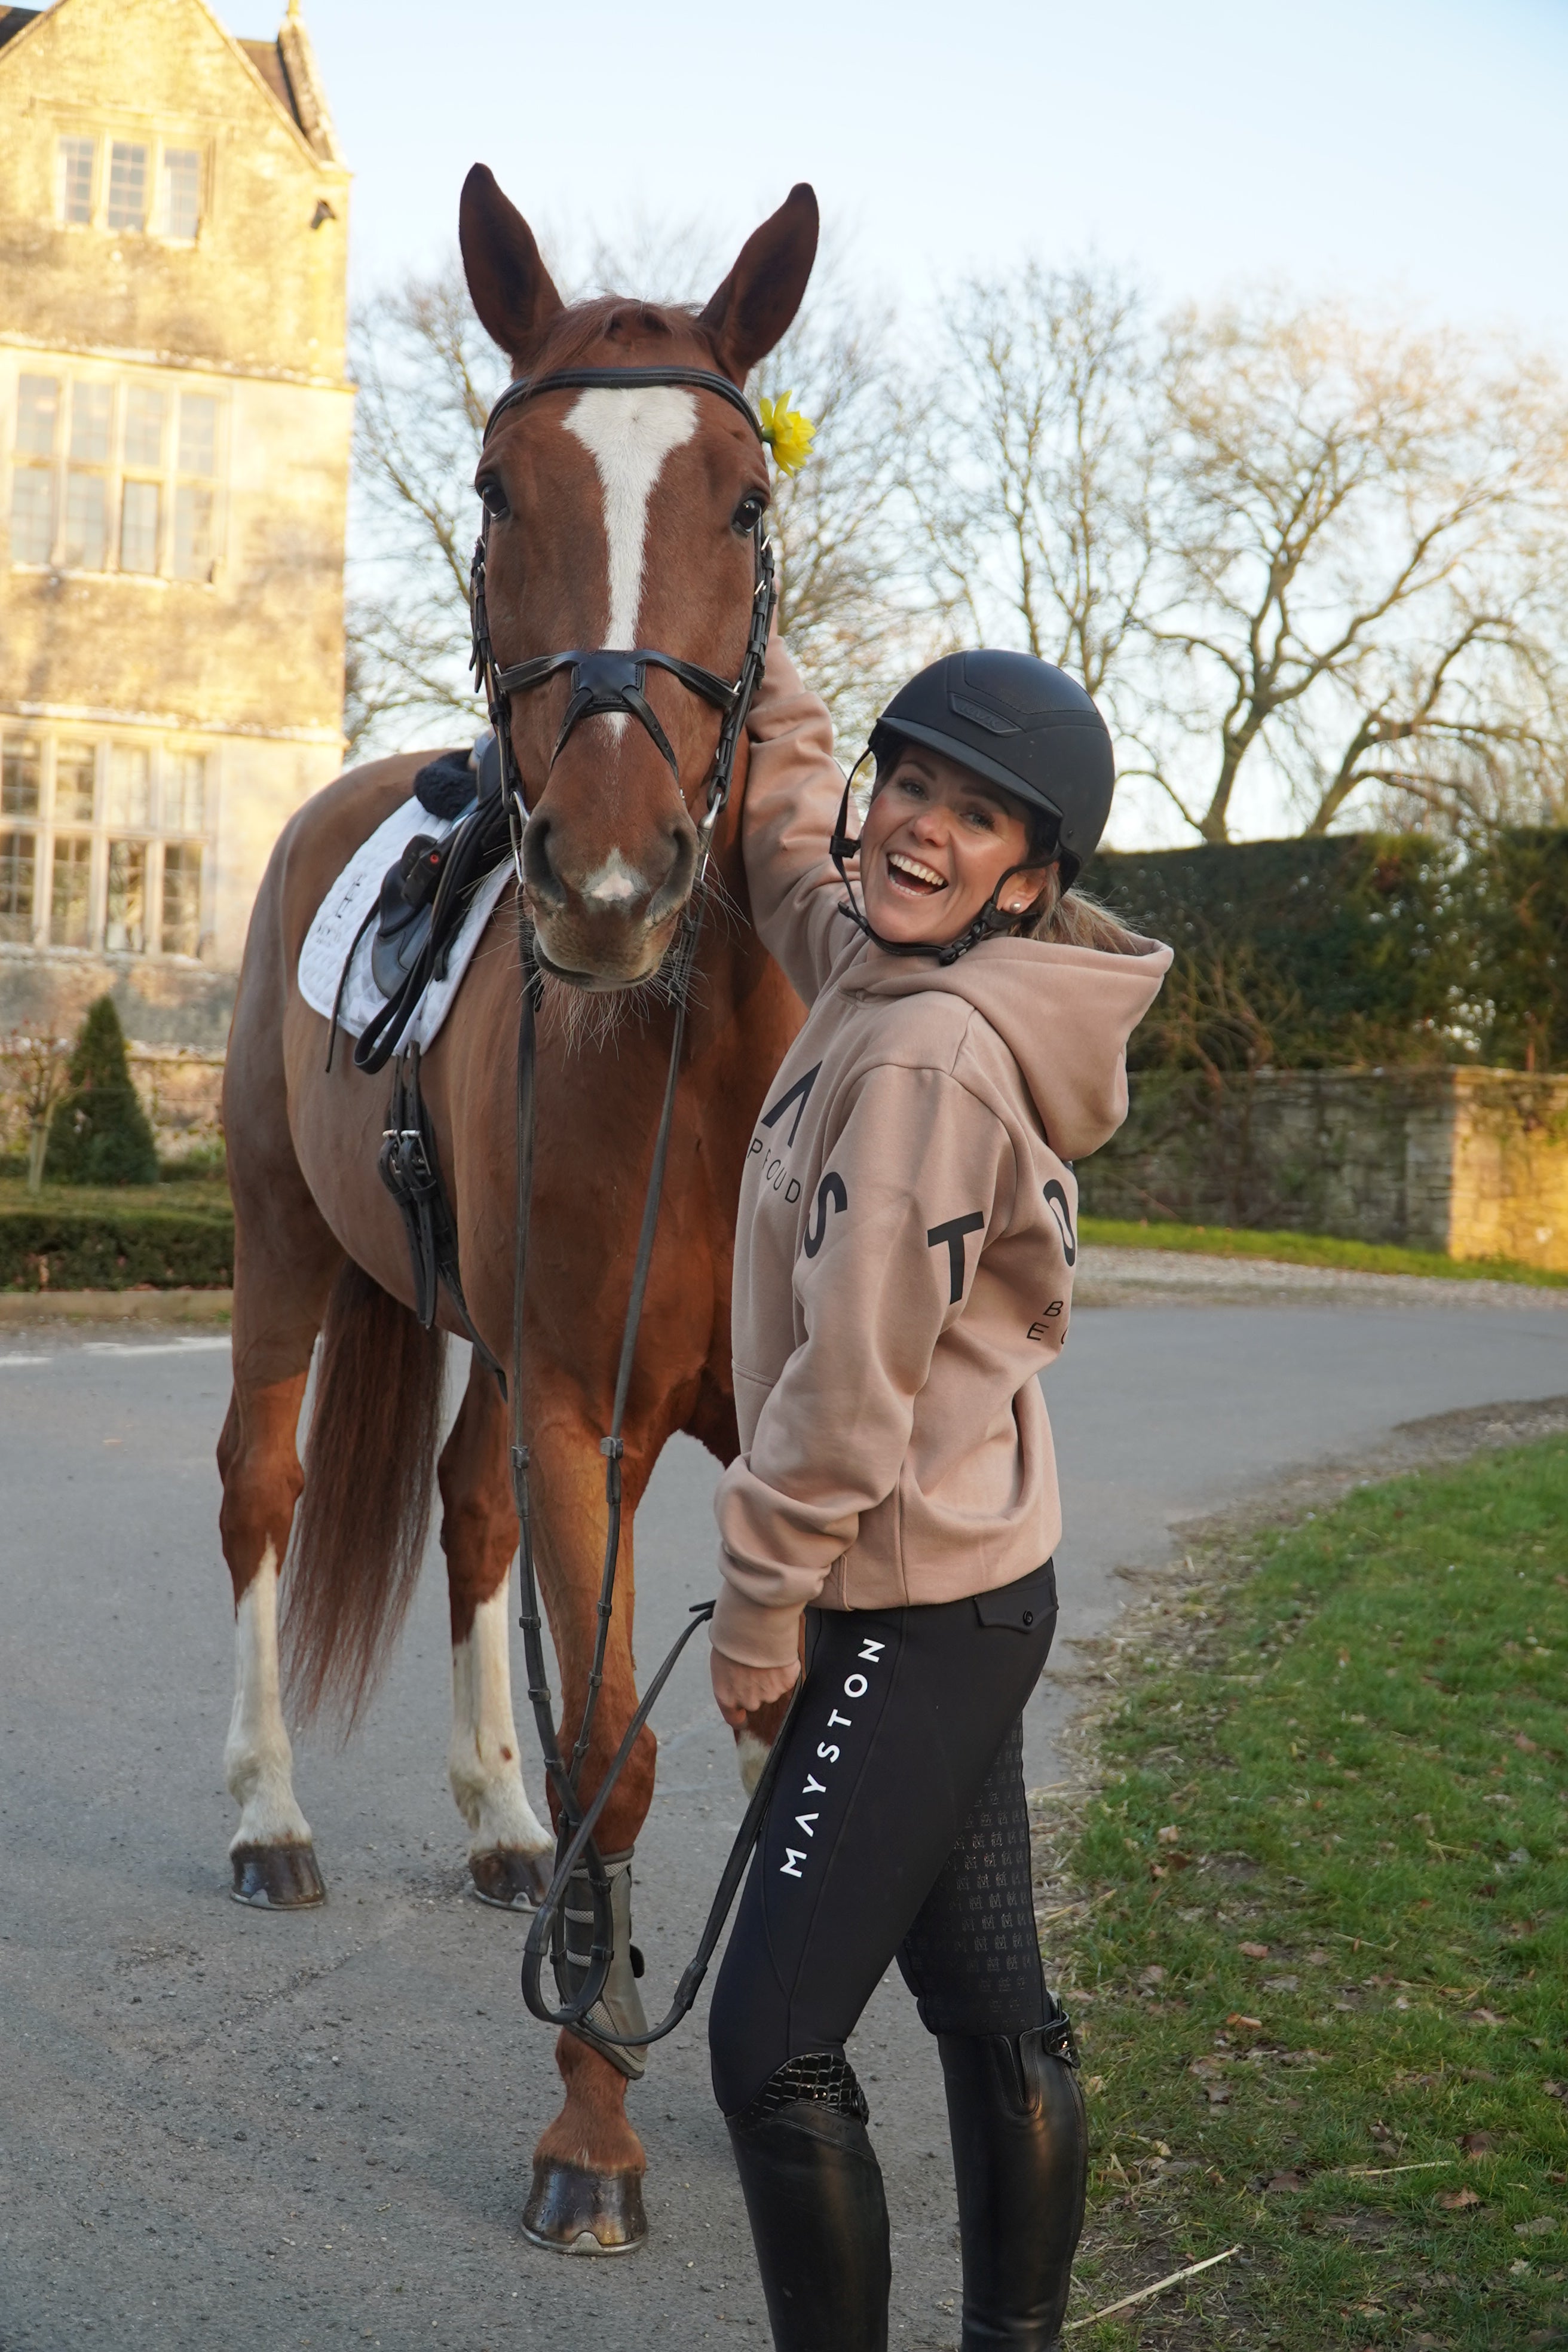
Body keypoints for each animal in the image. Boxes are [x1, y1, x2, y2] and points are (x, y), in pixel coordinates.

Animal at [216, 163, 820, 2252]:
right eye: (496, 492)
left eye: (743, 502)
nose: (614, 883)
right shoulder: (589, 1418)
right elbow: (612, 1761)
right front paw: (594, 2133)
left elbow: (757, 1741)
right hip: (284, 1258)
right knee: (263, 1498)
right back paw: (269, 1815)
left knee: (465, 1524)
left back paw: (489, 1831)